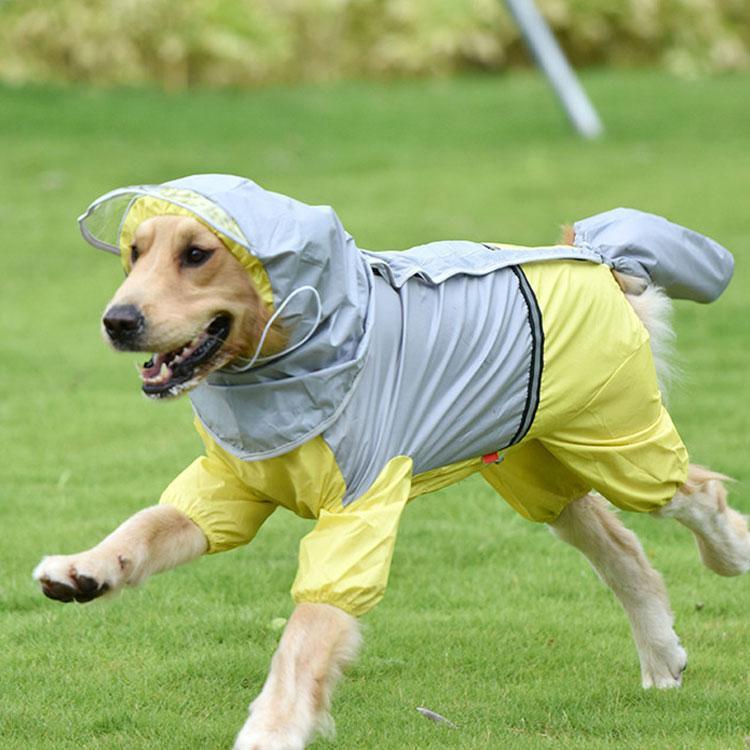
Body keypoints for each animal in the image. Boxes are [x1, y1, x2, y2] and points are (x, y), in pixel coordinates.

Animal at [32, 200, 748, 750]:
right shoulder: (230, 486)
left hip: (615, 442)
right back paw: (663, 658)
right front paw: (84, 568)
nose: (117, 321)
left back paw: (730, 556)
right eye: (134, 252)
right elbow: (147, 526)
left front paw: (274, 729)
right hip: (536, 466)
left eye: (197, 254)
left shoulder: (357, 513)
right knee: (623, 550)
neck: (288, 364)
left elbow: (307, 634)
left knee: (697, 491)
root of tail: (593, 255)